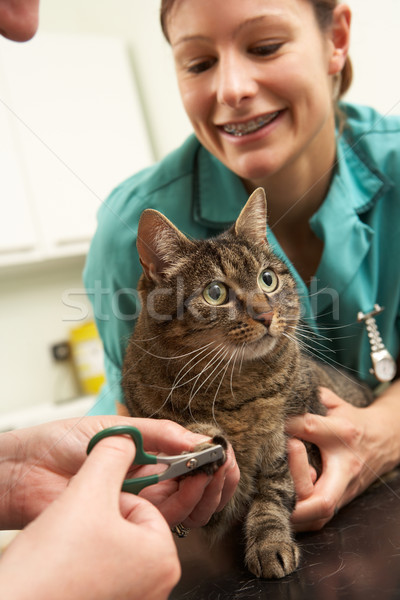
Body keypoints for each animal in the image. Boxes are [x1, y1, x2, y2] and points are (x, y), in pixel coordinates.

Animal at [122, 189, 372, 580]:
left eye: (267, 279)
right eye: (215, 292)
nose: (266, 315)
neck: (232, 387)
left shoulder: (295, 442)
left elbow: (273, 491)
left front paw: (270, 542)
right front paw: (202, 438)